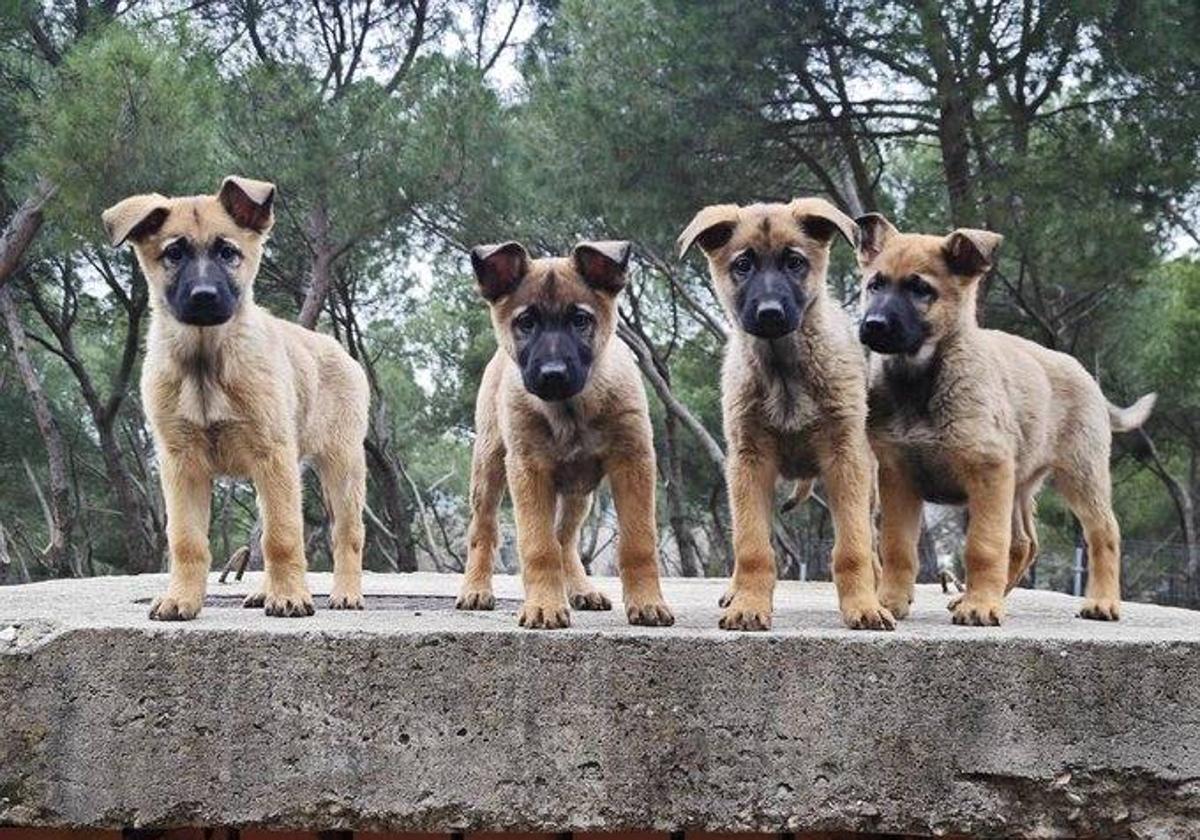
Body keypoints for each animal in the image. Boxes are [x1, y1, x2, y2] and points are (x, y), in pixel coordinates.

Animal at [101, 177, 367, 619]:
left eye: (228, 252)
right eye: (174, 253)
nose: (204, 296)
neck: (206, 361)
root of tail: (336, 347)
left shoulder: (272, 457)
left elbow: (282, 536)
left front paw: (290, 597)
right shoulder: (182, 464)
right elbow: (187, 540)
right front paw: (181, 599)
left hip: (341, 467)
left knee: (347, 534)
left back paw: (345, 593)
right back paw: (264, 591)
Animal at [453, 240, 676, 628]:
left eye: (580, 320)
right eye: (526, 322)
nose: (553, 374)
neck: (569, 410)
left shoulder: (633, 462)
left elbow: (638, 542)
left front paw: (647, 602)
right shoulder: (528, 470)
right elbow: (538, 546)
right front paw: (544, 606)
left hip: (578, 494)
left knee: (566, 538)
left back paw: (580, 589)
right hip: (489, 467)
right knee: (484, 529)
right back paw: (476, 589)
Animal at [676, 198, 892, 628]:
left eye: (795, 262)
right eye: (743, 265)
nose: (770, 313)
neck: (783, 372)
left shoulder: (845, 460)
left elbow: (853, 547)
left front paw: (863, 605)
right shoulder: (749, 463)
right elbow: (752, 545)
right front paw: (749, 604)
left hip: (868, 487)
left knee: (870, 540)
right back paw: (735, 591)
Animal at [854, 214, 1152, 624]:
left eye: (920, 289)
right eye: (875, 284)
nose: (873, 324)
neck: (920, 380)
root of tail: (1084, 374)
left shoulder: (987, 471)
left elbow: (983, 545)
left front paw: (980, 605)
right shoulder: (898, 477)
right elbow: (897, 547)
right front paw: (891, 602)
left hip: (1080, 474)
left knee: (1103, 531)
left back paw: (1101, 602)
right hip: (1018, 485)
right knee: (1026, 542)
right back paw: (988, 597)